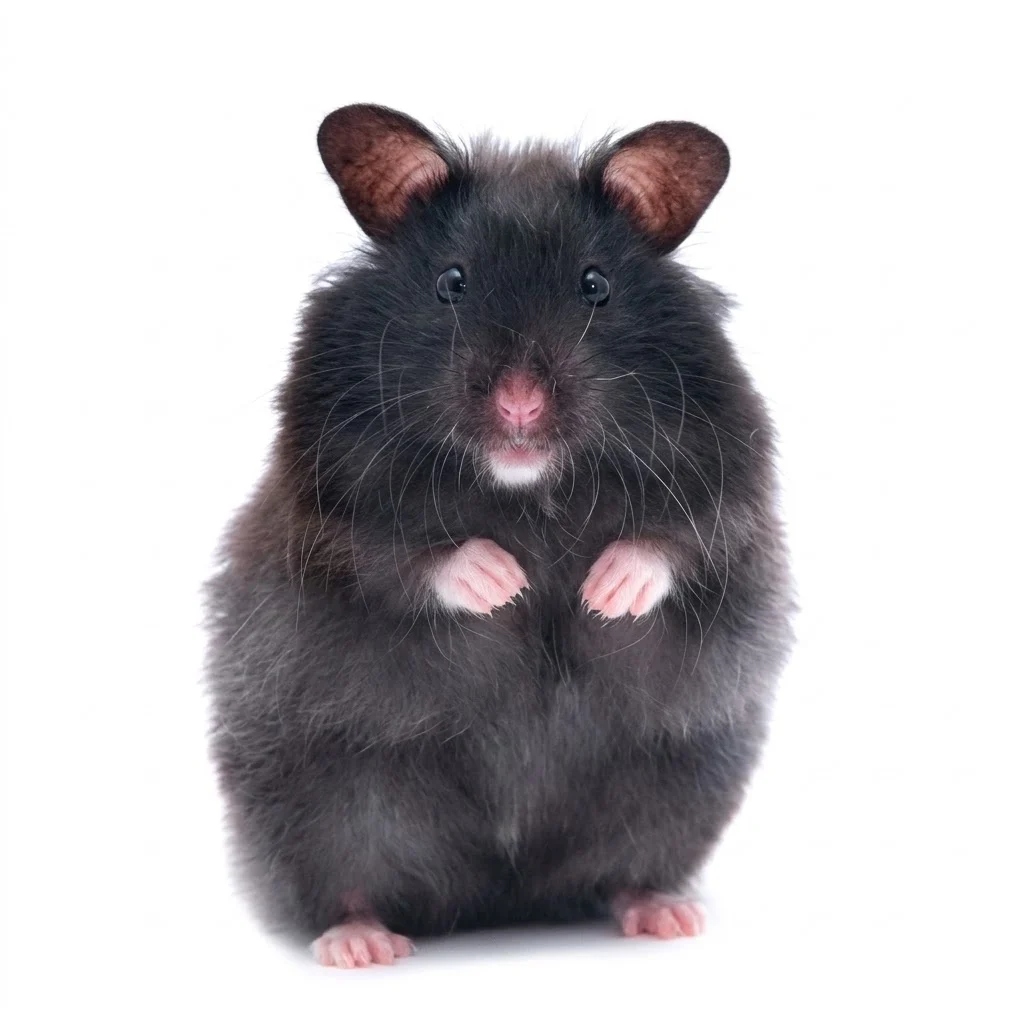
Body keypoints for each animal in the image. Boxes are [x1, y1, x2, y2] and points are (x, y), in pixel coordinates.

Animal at [205, 103, 794, 968]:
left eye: (595, 285)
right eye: (452, 282)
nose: (520, 407)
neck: (527, 485)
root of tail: (504, 894)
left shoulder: (732, 494)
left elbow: (674, 542)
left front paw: (602, 594)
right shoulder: (328, 508)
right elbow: (401, 555)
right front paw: (505, 582)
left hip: (676, 787)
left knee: (626, 868)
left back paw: (666, 915)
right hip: (324, 800)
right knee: (343, 878)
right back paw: (361, 944)